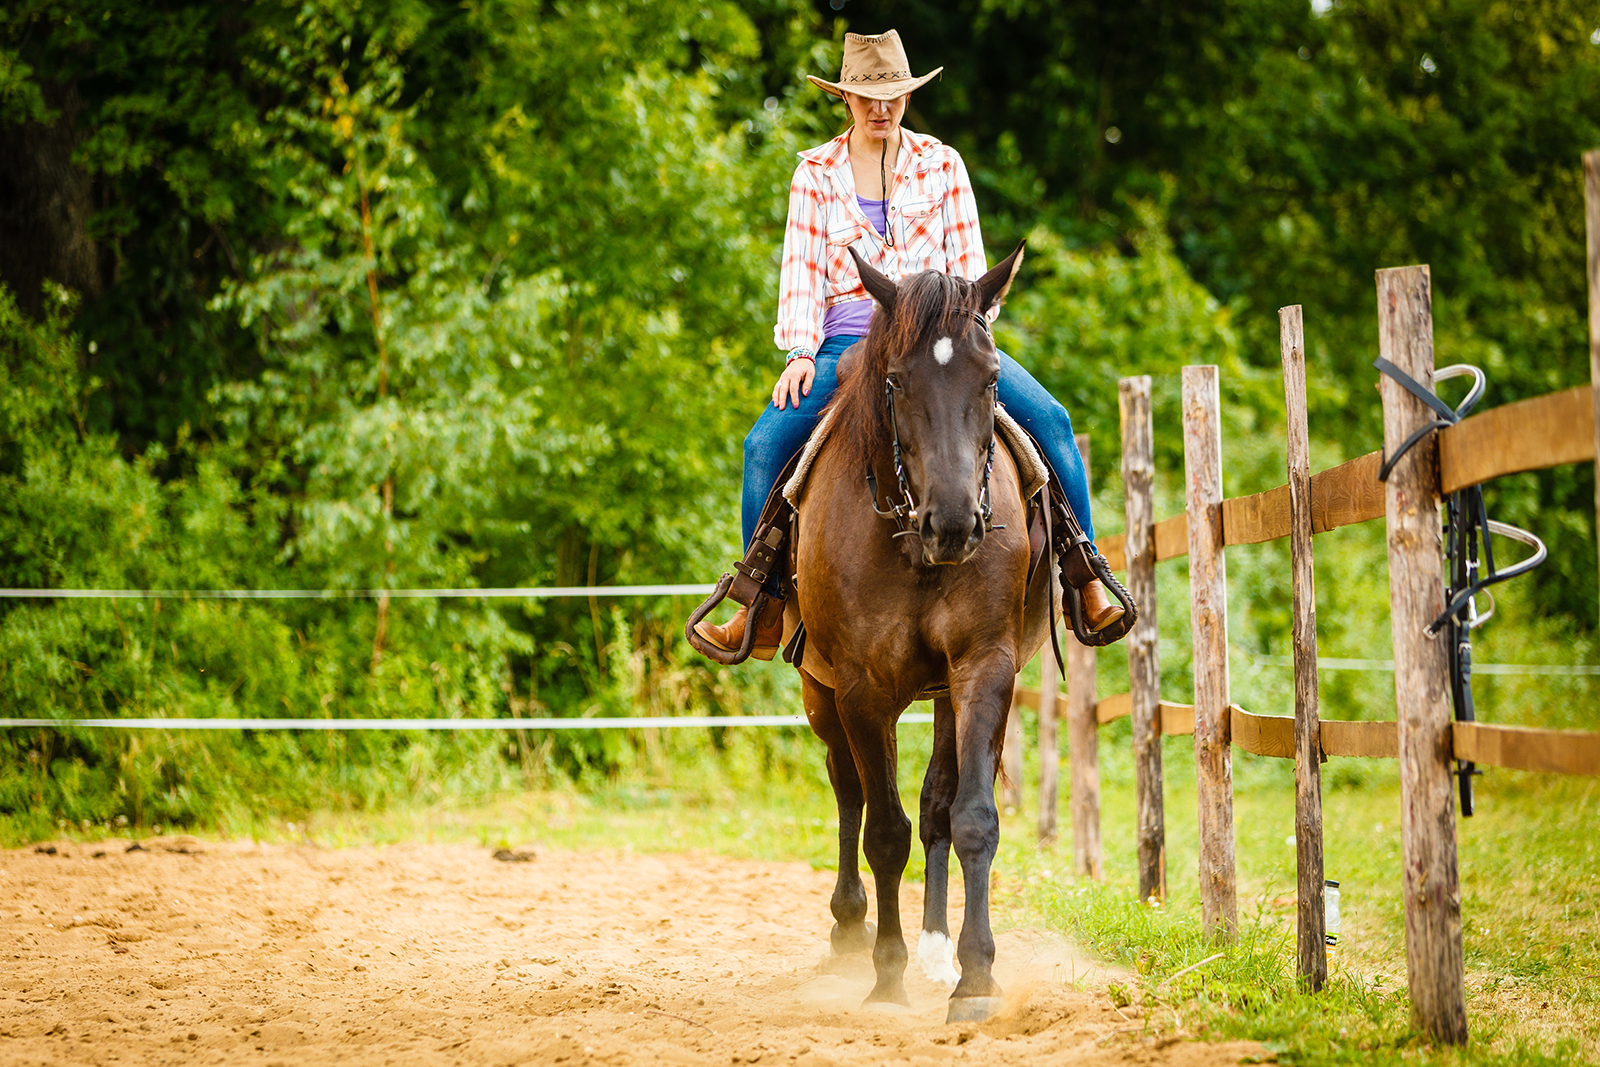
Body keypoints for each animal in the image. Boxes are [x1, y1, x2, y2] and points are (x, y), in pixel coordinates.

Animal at [793, 244, 1056, 1023]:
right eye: (896, 380)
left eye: (992, 377)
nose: (955, 524)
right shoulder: (860, 689)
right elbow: (883, 829)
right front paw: (887, 973)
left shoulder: (984, 667)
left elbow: (969, 817)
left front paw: (975, 974)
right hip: (820, 694)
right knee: (847, 789)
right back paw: (850, 930)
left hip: (947, 692)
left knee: (937, 804)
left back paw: (939, 952)